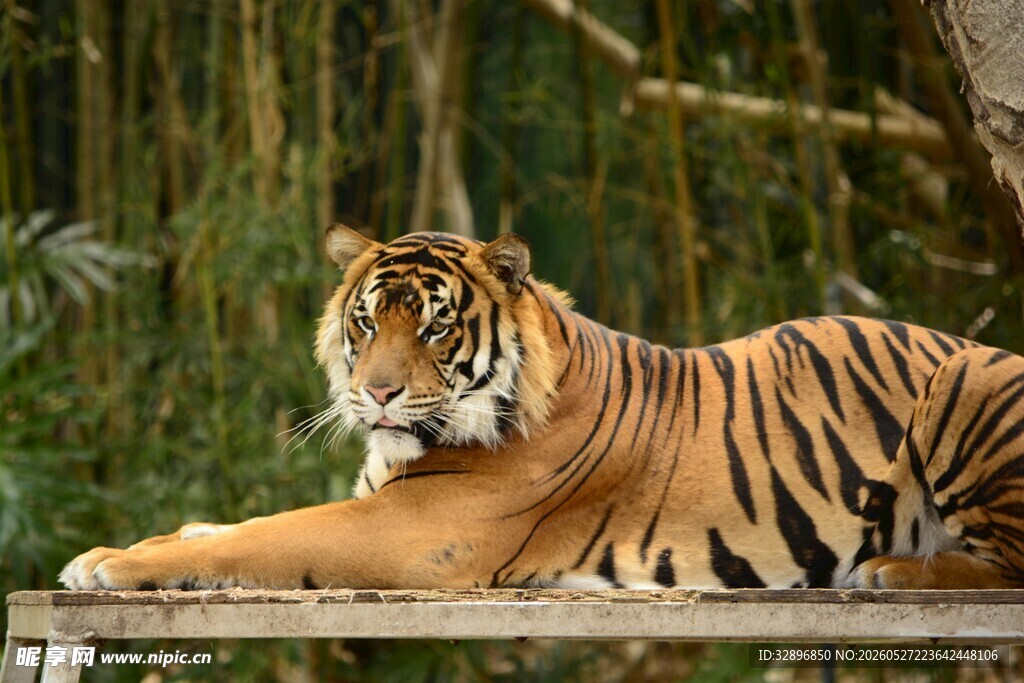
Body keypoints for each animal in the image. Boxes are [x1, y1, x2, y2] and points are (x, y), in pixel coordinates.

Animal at [60, 226, 1024, 592]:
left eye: (435, 324)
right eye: (367, 320)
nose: (376, 391)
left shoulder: (413, 528)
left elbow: (259, 536)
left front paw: (110, 564)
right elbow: (217, 526)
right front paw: (117, 549)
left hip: (963, 379)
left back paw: (893, 570)